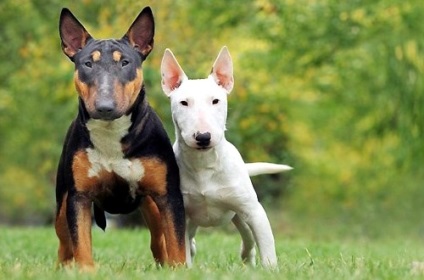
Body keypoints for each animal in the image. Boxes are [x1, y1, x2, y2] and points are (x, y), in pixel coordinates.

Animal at [55, 6, 186, 270]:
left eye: (125, 62)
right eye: (87, 63)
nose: (105, 107)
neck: (111, 133)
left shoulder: (168, 196)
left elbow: (176, 242)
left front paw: (179, 270)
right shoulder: (78, 198)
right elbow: (81, 245)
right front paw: (86, 272)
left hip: (152, 205)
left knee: (159, 240)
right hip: (61, 204)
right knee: (64, 245)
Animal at [160, 47, 292, 268]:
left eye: (215, 100)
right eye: (183, 102)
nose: (203, 137)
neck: (203, 164)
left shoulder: (254, 211)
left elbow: (266, 247)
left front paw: (271, 269)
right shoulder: (180, 214)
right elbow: (182, 249)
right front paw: (185, 269)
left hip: (239, 216)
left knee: (248, 238)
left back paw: (247, 258)